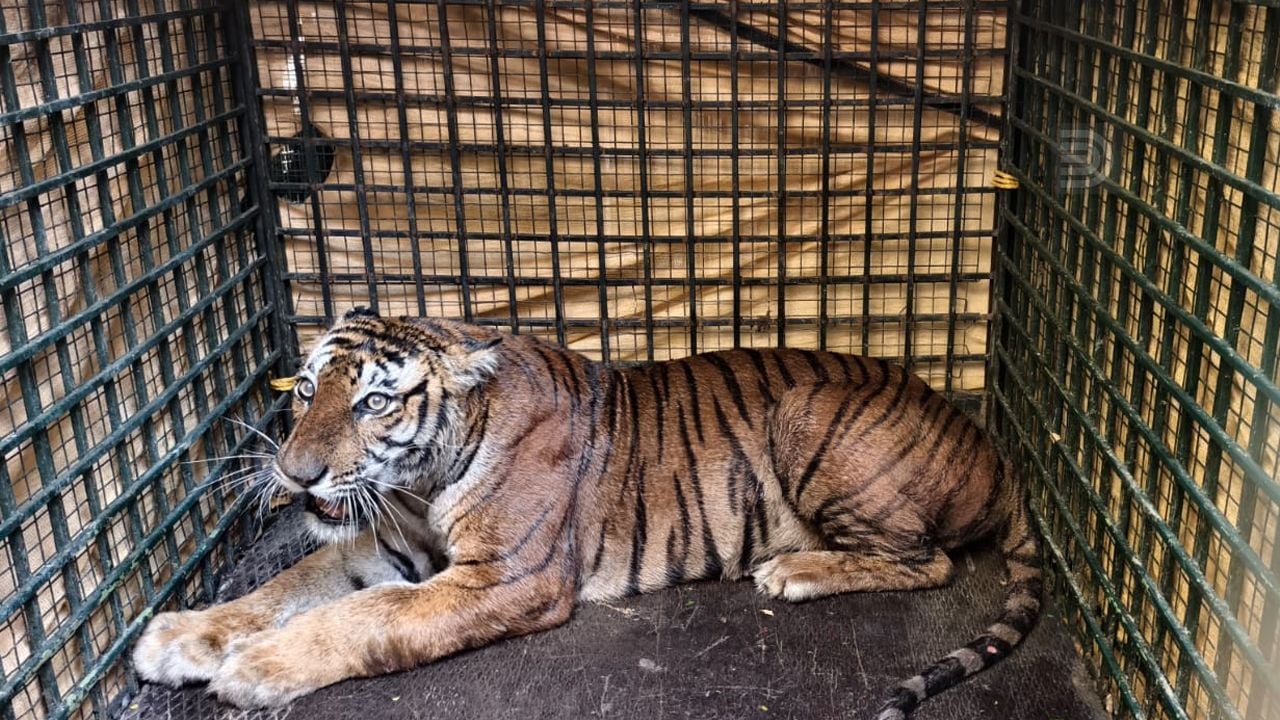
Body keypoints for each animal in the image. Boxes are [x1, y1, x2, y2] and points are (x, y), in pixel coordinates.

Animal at [132, 307, 1042, 719]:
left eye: (375, 403)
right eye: (307, 391)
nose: (295, 474)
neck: (426, 476)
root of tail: (1000, 456)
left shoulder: (507, 579)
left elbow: (366, 616)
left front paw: (257, 667)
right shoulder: (394, 541)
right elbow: (294, 580)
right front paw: (183, 636)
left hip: (807, 412)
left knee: (932, 562)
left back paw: (793, 568)